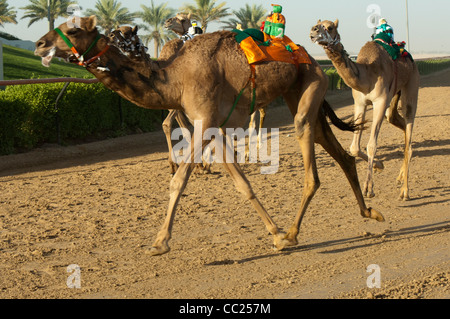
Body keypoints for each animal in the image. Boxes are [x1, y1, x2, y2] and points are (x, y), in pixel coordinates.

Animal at [35, 16, 384, 258]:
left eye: (74, 30)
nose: (39, 43)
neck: (176, 77)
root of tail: (313, 60)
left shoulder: (204, 122)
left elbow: (179, 181)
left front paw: (159, 242)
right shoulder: (214, 126)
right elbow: (242, 184)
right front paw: (274, 233)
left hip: (310, 87)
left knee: (311, 165)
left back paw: (294, 233)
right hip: (300, 92)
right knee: (340, 154)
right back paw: (368, 212)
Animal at [312, 19, 420, 200]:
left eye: (330, 27)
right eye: (315, 25)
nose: (313, 31)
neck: (367, 74)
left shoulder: (380, 102)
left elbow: (371, 145)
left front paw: (368, 188)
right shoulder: (360, 103)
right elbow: (354, 147)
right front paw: (379, 165)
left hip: (411, 85)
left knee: (409, 123)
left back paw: (405, 191)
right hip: (394, 96)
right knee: (399, 125)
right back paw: (400, 177)